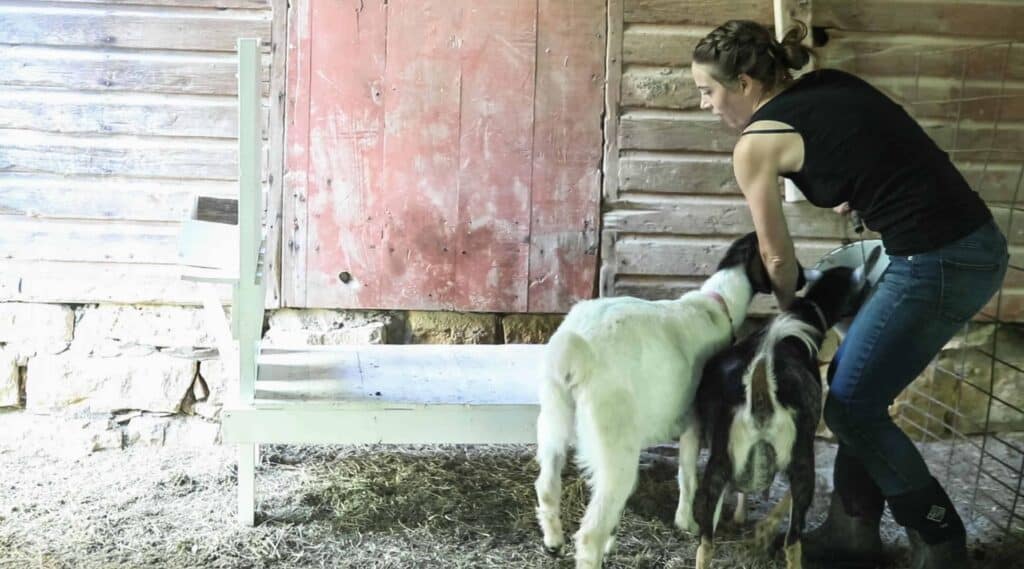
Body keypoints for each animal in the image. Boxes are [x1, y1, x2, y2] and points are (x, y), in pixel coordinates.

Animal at [532, 232, 778, 569]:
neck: (715, 305)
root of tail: (576, 347)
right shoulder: (693, 421)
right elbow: (687, 474)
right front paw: (686, 522)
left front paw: (615, 537)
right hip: (613, 439)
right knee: (590, 532)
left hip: (554, 417)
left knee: (546, 486)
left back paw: (553, 541)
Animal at [684, 246, 884, 569]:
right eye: (864, 288)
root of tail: (761, 390)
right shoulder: (805, 440)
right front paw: (763, 528)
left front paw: (741, 516)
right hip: (800, 457)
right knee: (793, 537)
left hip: (719, 460)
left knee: (705, 540)